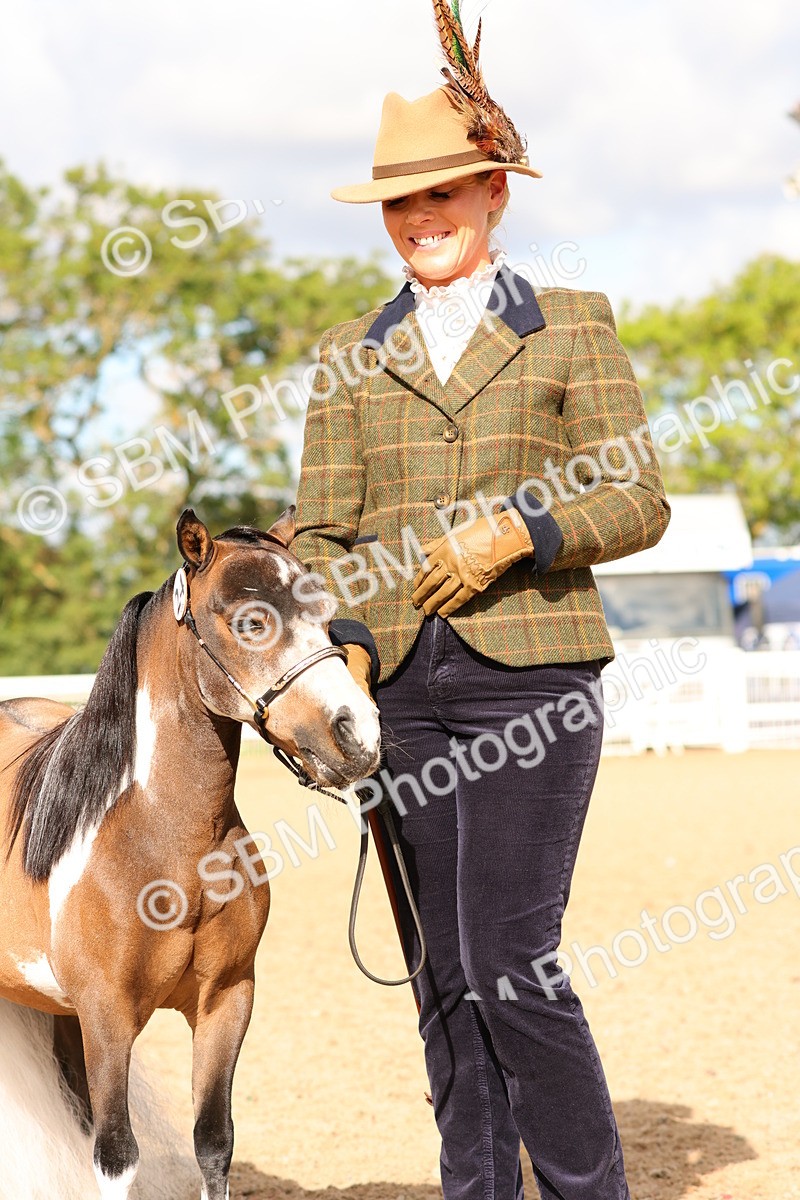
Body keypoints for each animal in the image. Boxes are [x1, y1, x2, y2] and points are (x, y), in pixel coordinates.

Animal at [0, 505, 381, 1200]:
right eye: (252, 622)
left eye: (325, 615)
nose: (358, 735)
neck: (168, 844)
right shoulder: (107, 1016)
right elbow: (115, 1153)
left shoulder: (226, 999)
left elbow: (215, 1141)